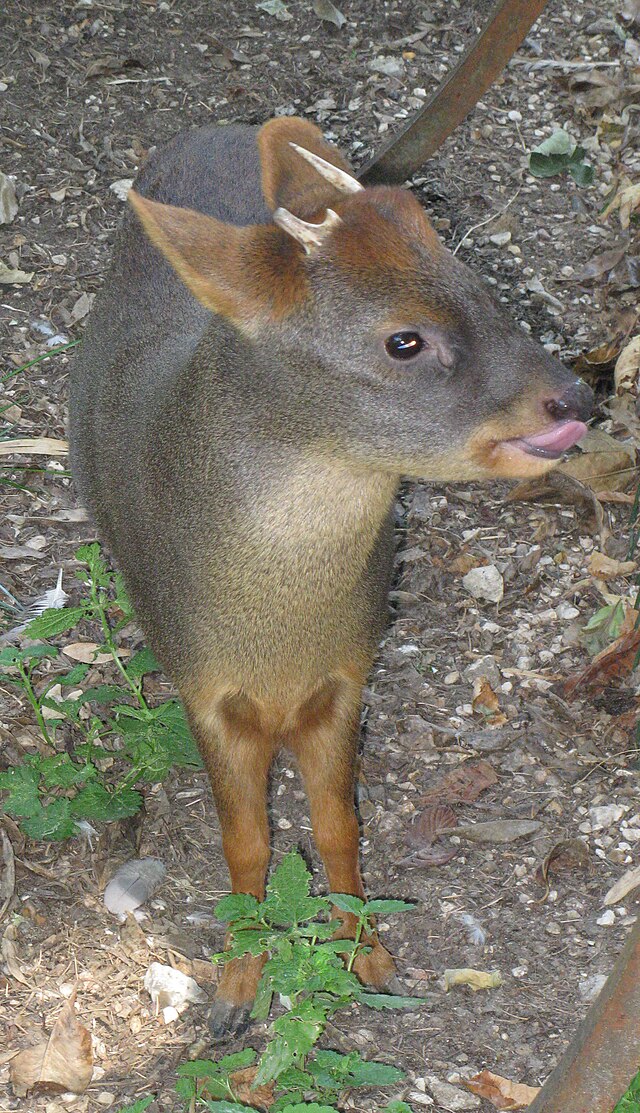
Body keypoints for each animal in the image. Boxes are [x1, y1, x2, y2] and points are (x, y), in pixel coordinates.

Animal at [69, 115, 592, 1032]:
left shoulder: (349, 670)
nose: (577, 398)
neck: (278, 629)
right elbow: (246, 842)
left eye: (480, 285)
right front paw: (236, 984)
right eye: (404, 339)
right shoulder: (203, 684)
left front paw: (366, 954)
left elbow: (340, 824)